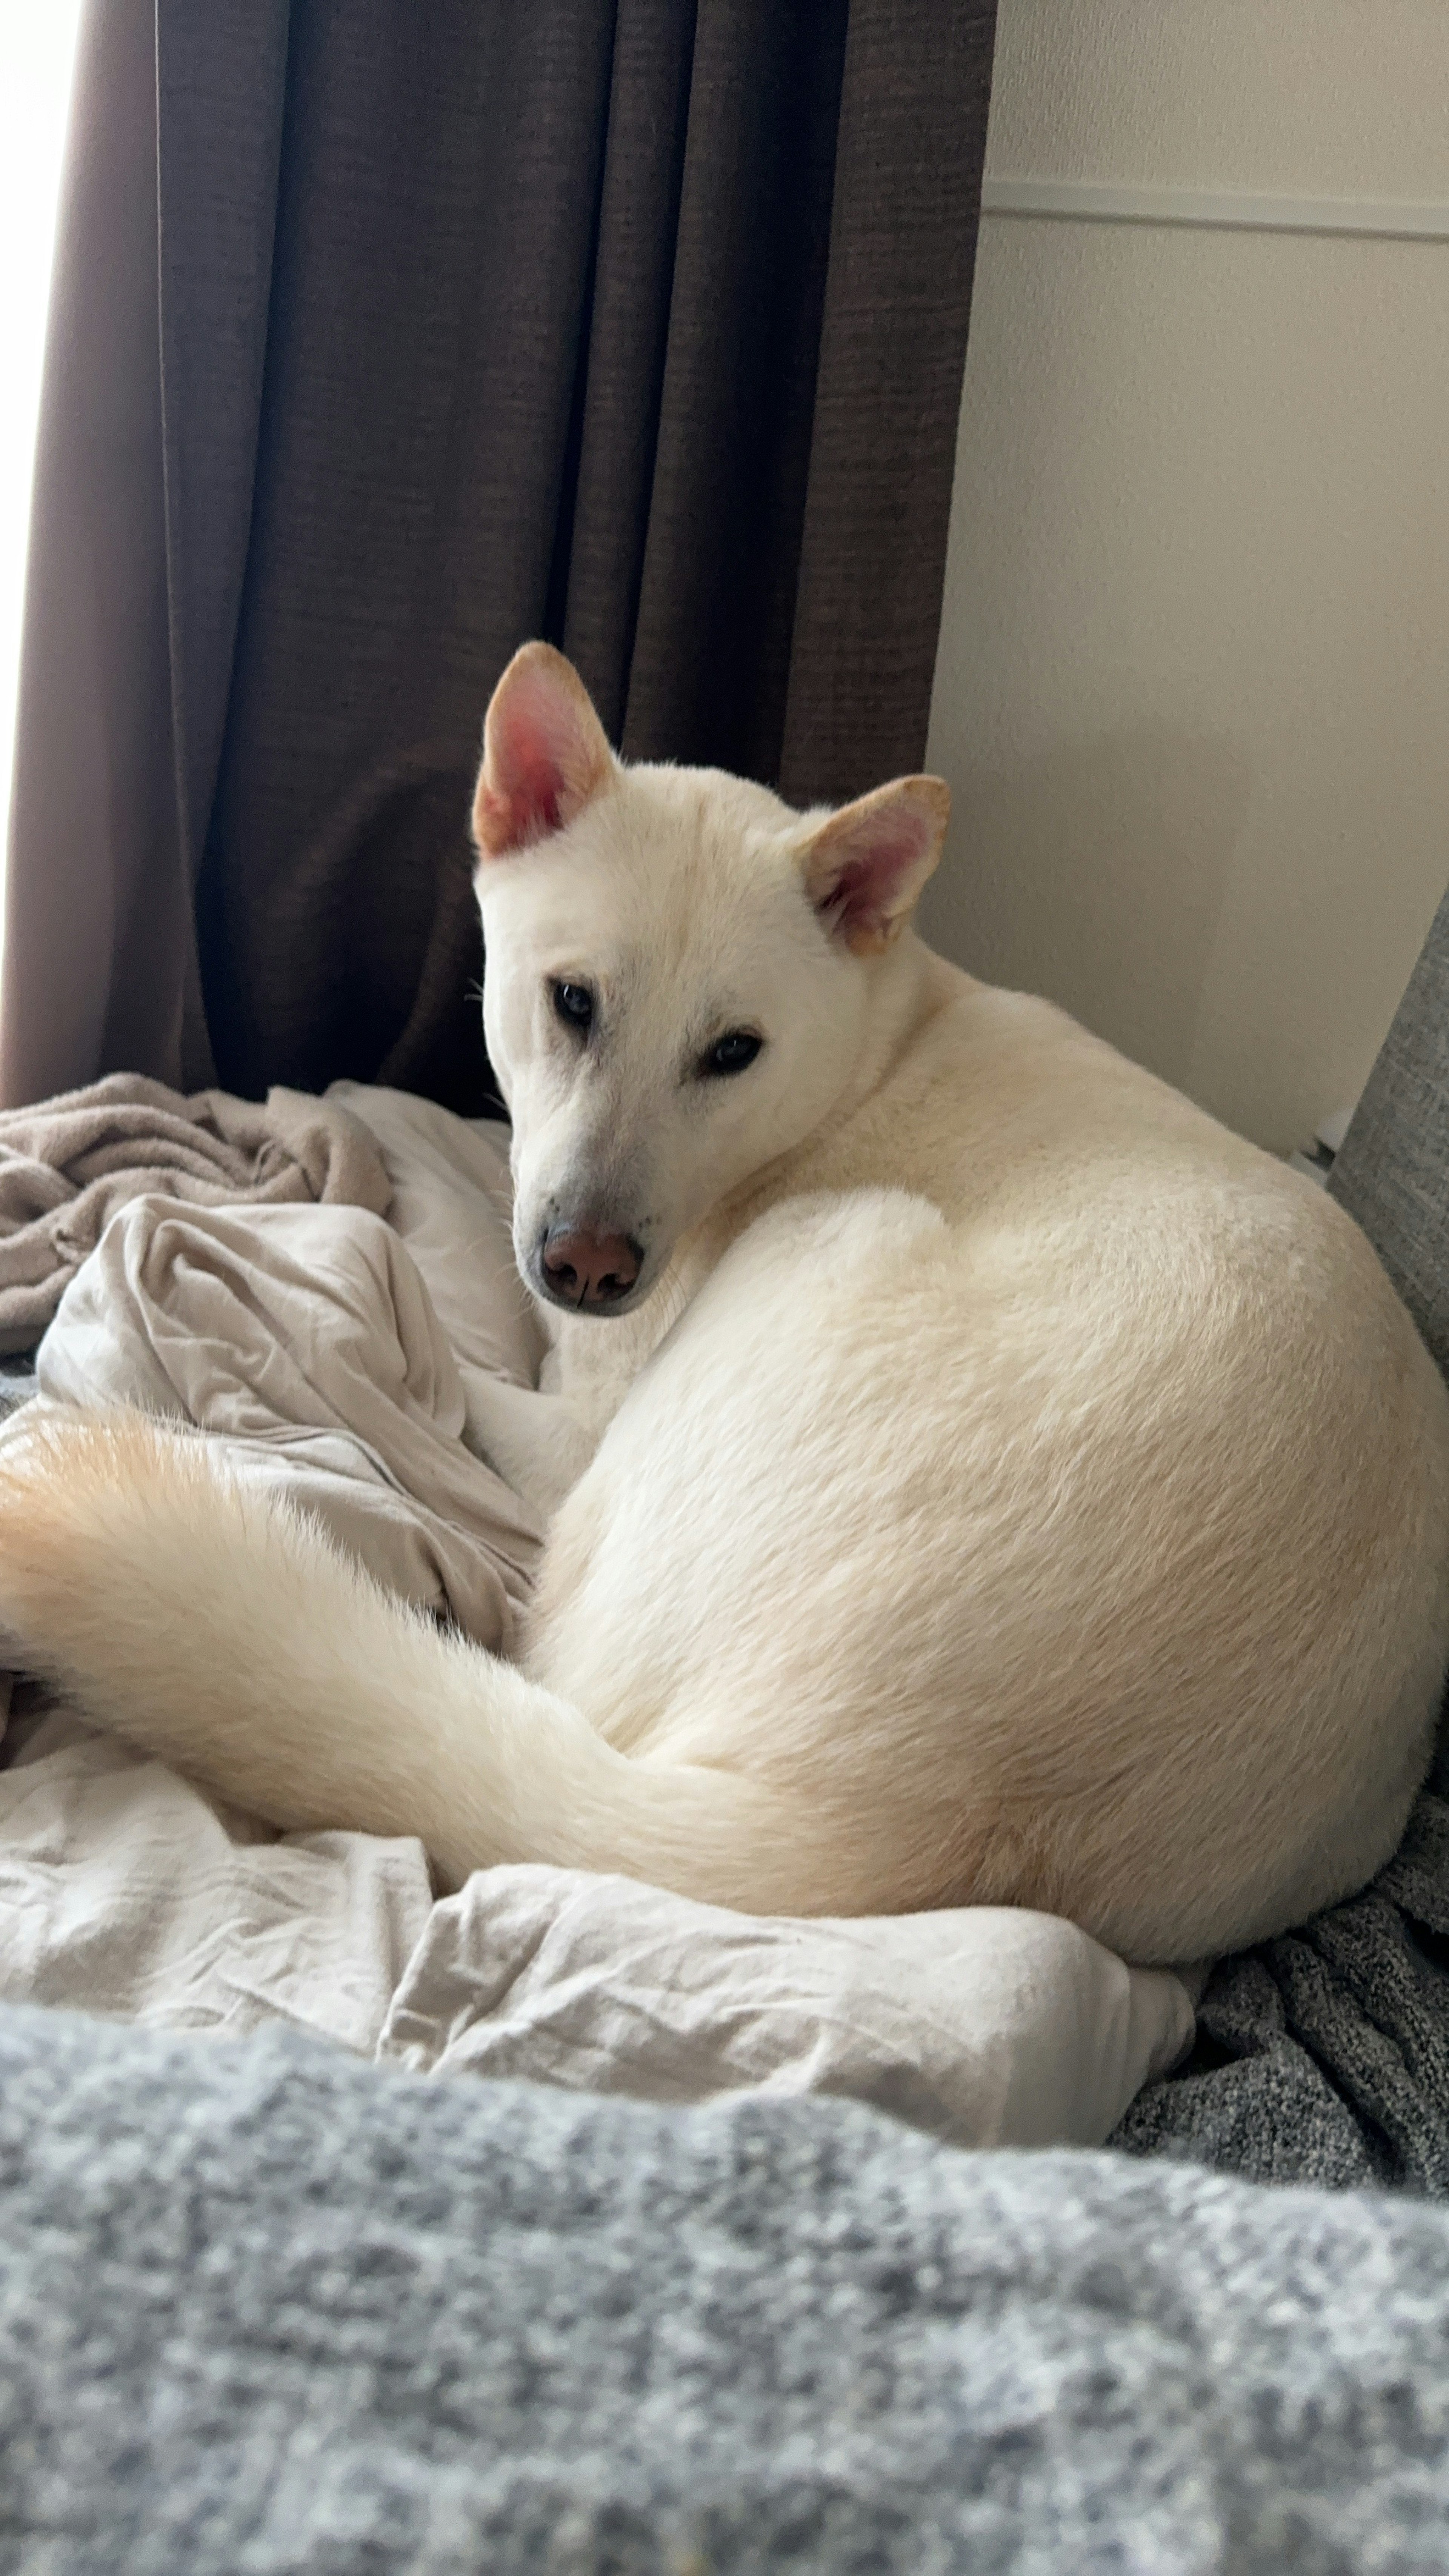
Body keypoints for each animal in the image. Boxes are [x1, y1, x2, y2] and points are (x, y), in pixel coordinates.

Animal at [3, 644, 1444, 1947]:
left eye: (733, 1051)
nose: (588, 1267)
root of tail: (901, 1807)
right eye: (572, 1001)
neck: (870, 1052)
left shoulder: (577, 1395)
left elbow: (414, 1277)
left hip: (812, 1258)